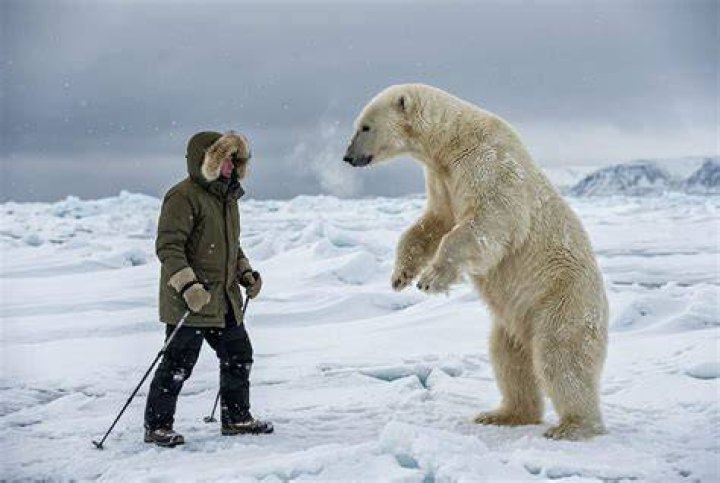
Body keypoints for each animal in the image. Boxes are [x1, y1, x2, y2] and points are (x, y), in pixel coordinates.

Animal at [343, 84, 608, 440]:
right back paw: (503, 414)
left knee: (561, 358)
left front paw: (430, 279)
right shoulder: (440, 177)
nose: (348, 157)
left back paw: (573, 426)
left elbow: (488, 221)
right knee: (508, 359)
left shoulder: (487, 163)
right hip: (514, 322)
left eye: (365, 127)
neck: (453, 139)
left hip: (562, 302)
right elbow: (433, 222)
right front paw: (401, 275)